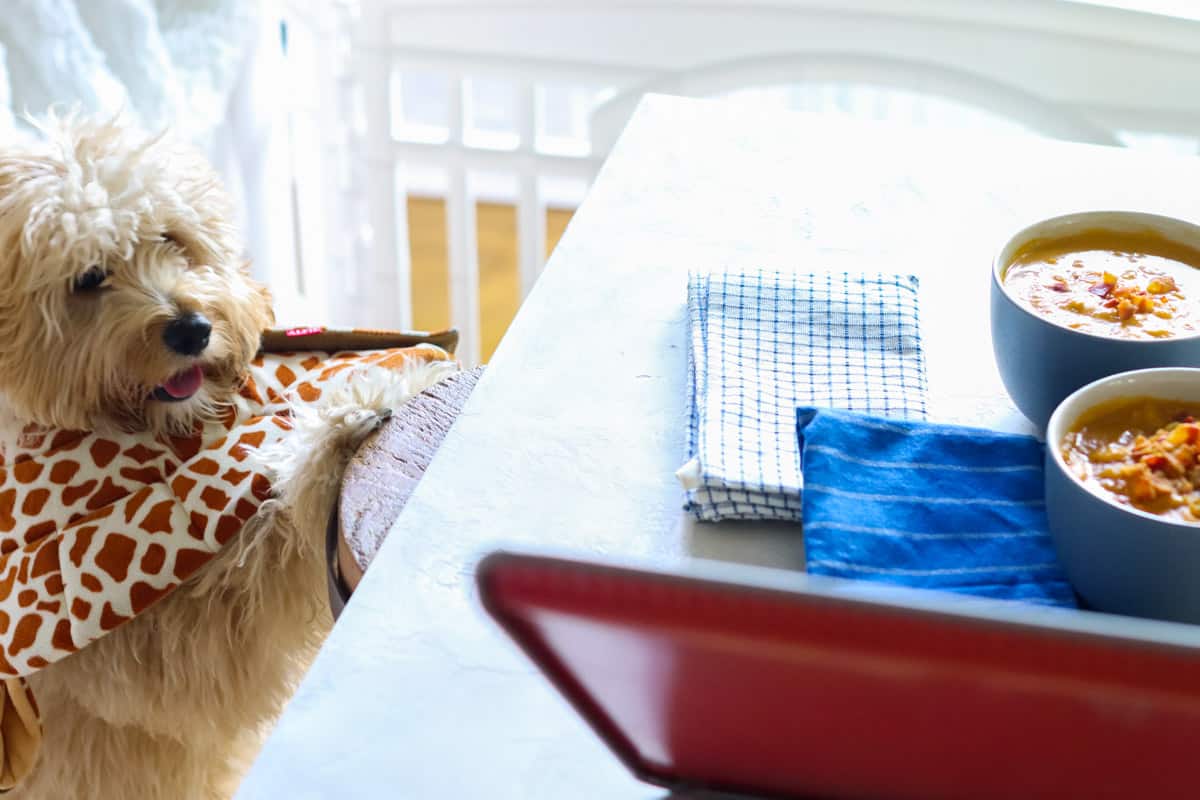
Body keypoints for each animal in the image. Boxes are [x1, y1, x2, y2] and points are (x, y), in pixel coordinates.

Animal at [0, 115, 453, 796]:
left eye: (171, 238)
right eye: (89, 278)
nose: (191, 328)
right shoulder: (158, 649)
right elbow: (266, 540)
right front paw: (348, 420)